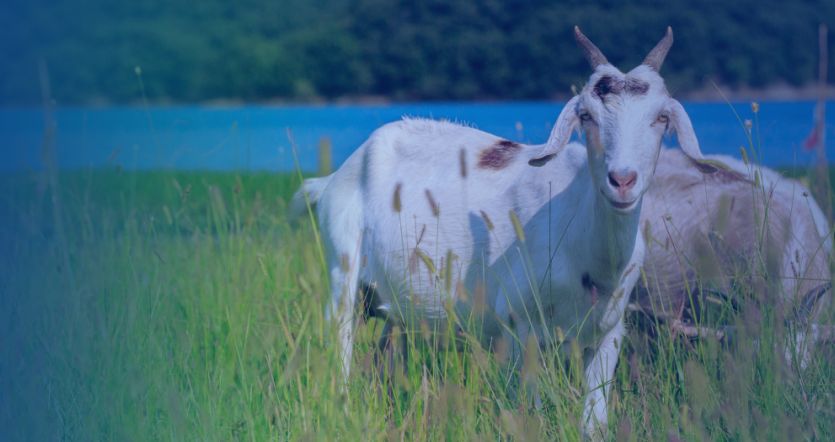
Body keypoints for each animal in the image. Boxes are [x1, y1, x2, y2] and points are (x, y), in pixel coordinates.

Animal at [294, 27, 712, 438]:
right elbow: (530, 412)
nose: (622, 180)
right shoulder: (518, 327)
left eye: (662, 117)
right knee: (341, 347)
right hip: (343, 272)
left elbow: (594, 422)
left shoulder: (608, 333)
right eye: (586, 115)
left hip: (394, 309)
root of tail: (336, 176)